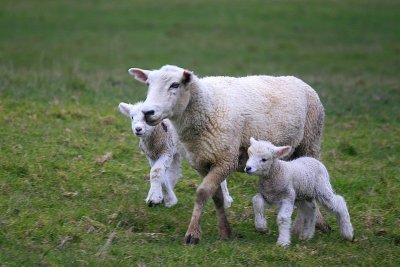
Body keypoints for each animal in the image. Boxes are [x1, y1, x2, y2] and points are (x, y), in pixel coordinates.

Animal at [127, 64, 328, 245]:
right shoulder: (203, 162)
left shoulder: (226, 160)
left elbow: (202, 193)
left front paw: (192, 234)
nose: (147, 112)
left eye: (175, 85)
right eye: (148, 84)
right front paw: (225, 231)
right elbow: (216, 197)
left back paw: (316, 224)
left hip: (310, 141)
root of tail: (297, 80)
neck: (207, 106)